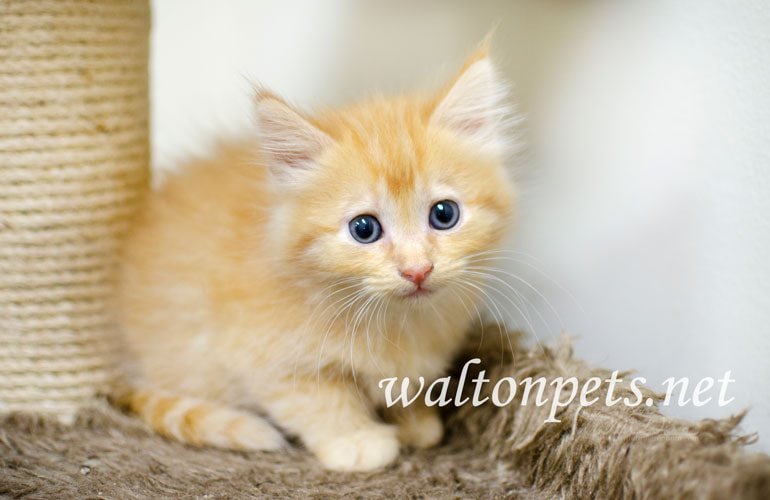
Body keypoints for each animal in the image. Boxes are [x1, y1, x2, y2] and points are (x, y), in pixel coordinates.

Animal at [117, 45, 512, 470]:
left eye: (444, 214)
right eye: (364, 229)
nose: (417, 270)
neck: (397, 322)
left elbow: (405, 387)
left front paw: (417, 423)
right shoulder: (259, 353)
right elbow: (317, 399)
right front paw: (357, 442)